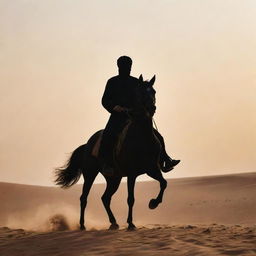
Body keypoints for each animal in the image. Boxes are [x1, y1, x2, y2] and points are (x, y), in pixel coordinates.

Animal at [54, 75, 167, 230]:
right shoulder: (132, 173)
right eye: (141, 92)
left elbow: (164, 183)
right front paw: (131, 223)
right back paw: (82, 225)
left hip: (114, 178)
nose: (152, 108)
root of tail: (86, 145)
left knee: (105, 198)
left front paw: (153, 203)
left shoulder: (152, 169)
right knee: (84, 198)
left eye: (154, 91)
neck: (141, 138)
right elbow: (130, 198)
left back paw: (113, 222)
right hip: (90, 174)